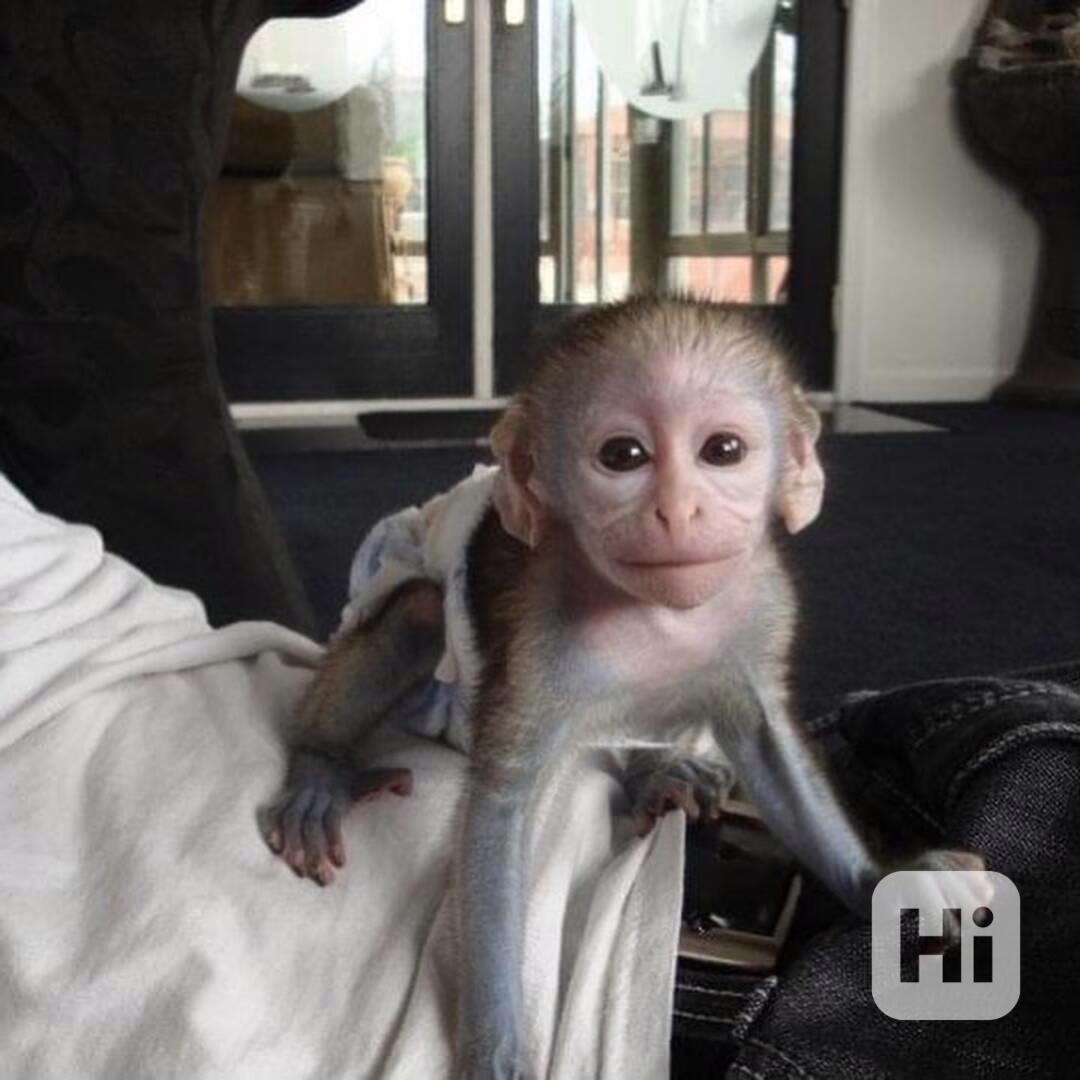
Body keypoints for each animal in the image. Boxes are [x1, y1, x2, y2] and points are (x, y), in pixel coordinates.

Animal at [263, 295, 989, 1079]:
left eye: (722, 451)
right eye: (623, 456)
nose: (677, 510)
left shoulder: (763, 600)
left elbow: (768, 743)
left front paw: (880, 878)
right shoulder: (542, 627)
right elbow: (500, 809)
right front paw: (498, 1051)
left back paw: (660, 773)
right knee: (420, 611)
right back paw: (319, 774)